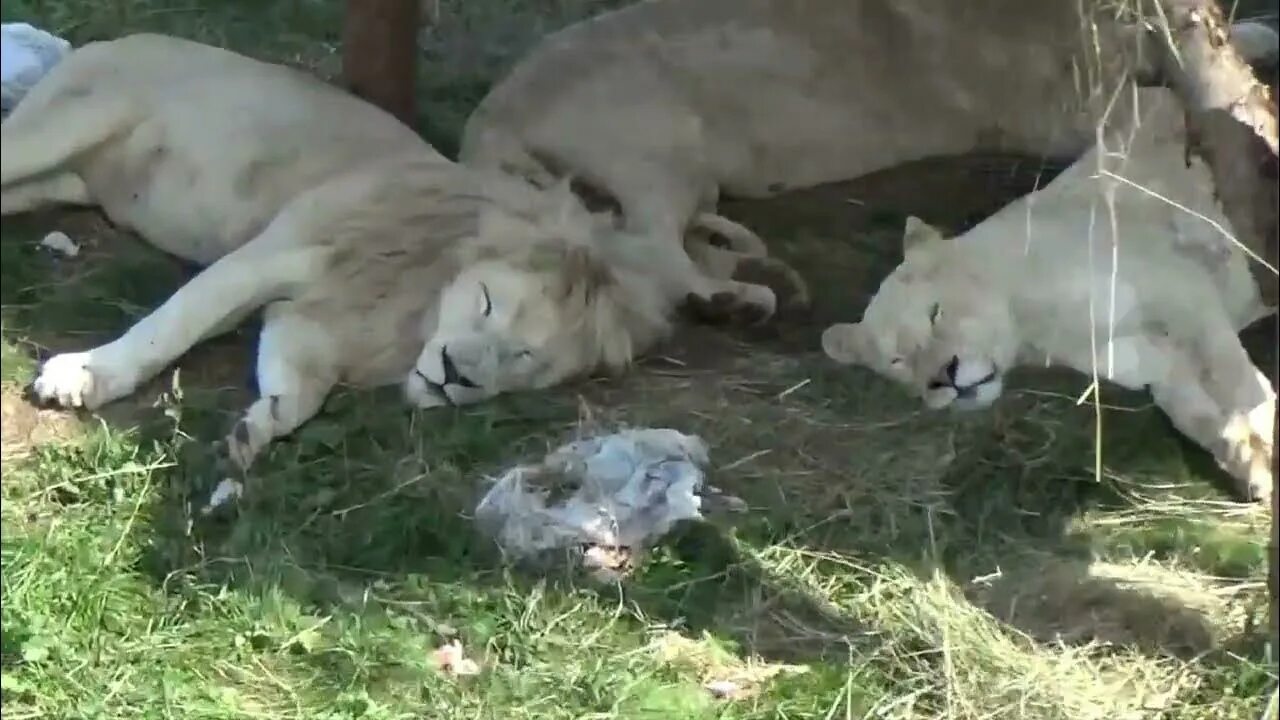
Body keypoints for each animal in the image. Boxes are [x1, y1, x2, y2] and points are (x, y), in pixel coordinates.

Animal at [0, 36, 747, 479]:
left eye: (524, 357)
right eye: (487, 305)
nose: (457, 377)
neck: (414, 306)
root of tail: (111, 38)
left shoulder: (311, 321)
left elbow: (297, 388)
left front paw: (257, 429)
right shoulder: (272, 255)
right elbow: (170, 327)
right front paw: (84, 377)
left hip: (60, 181)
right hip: (69, 122)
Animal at [824, 87, 1274, 502]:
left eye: (935, 313)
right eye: (898, 361)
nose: (943, 379)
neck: (1031, 327)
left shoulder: (1181, 291)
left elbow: (1239, 382)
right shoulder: (1148, 358)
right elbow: (1199, 415)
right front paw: (1251, 466)